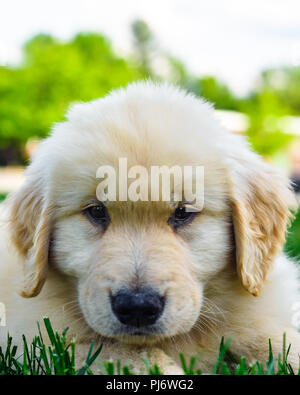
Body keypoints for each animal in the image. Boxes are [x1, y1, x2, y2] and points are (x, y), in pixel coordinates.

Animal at [0, 81, 300, 374]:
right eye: (96, 211)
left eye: (183, 213)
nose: (137, 307)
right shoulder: (51, 341)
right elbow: (131, 357)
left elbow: (278, 340)